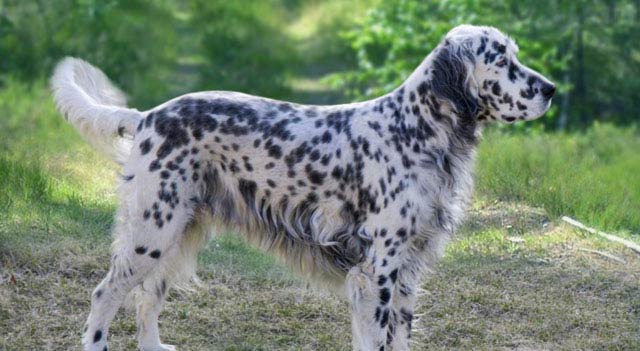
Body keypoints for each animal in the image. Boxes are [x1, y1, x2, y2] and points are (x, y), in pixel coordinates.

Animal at [51, 25, 556, 351]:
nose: (551, 88)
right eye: (502, 60)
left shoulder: (407, 270)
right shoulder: (376, 271)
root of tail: (147, 116)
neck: (414, 130)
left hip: (180, 232)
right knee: (106, 294)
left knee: (147, 297)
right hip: (152, 230)